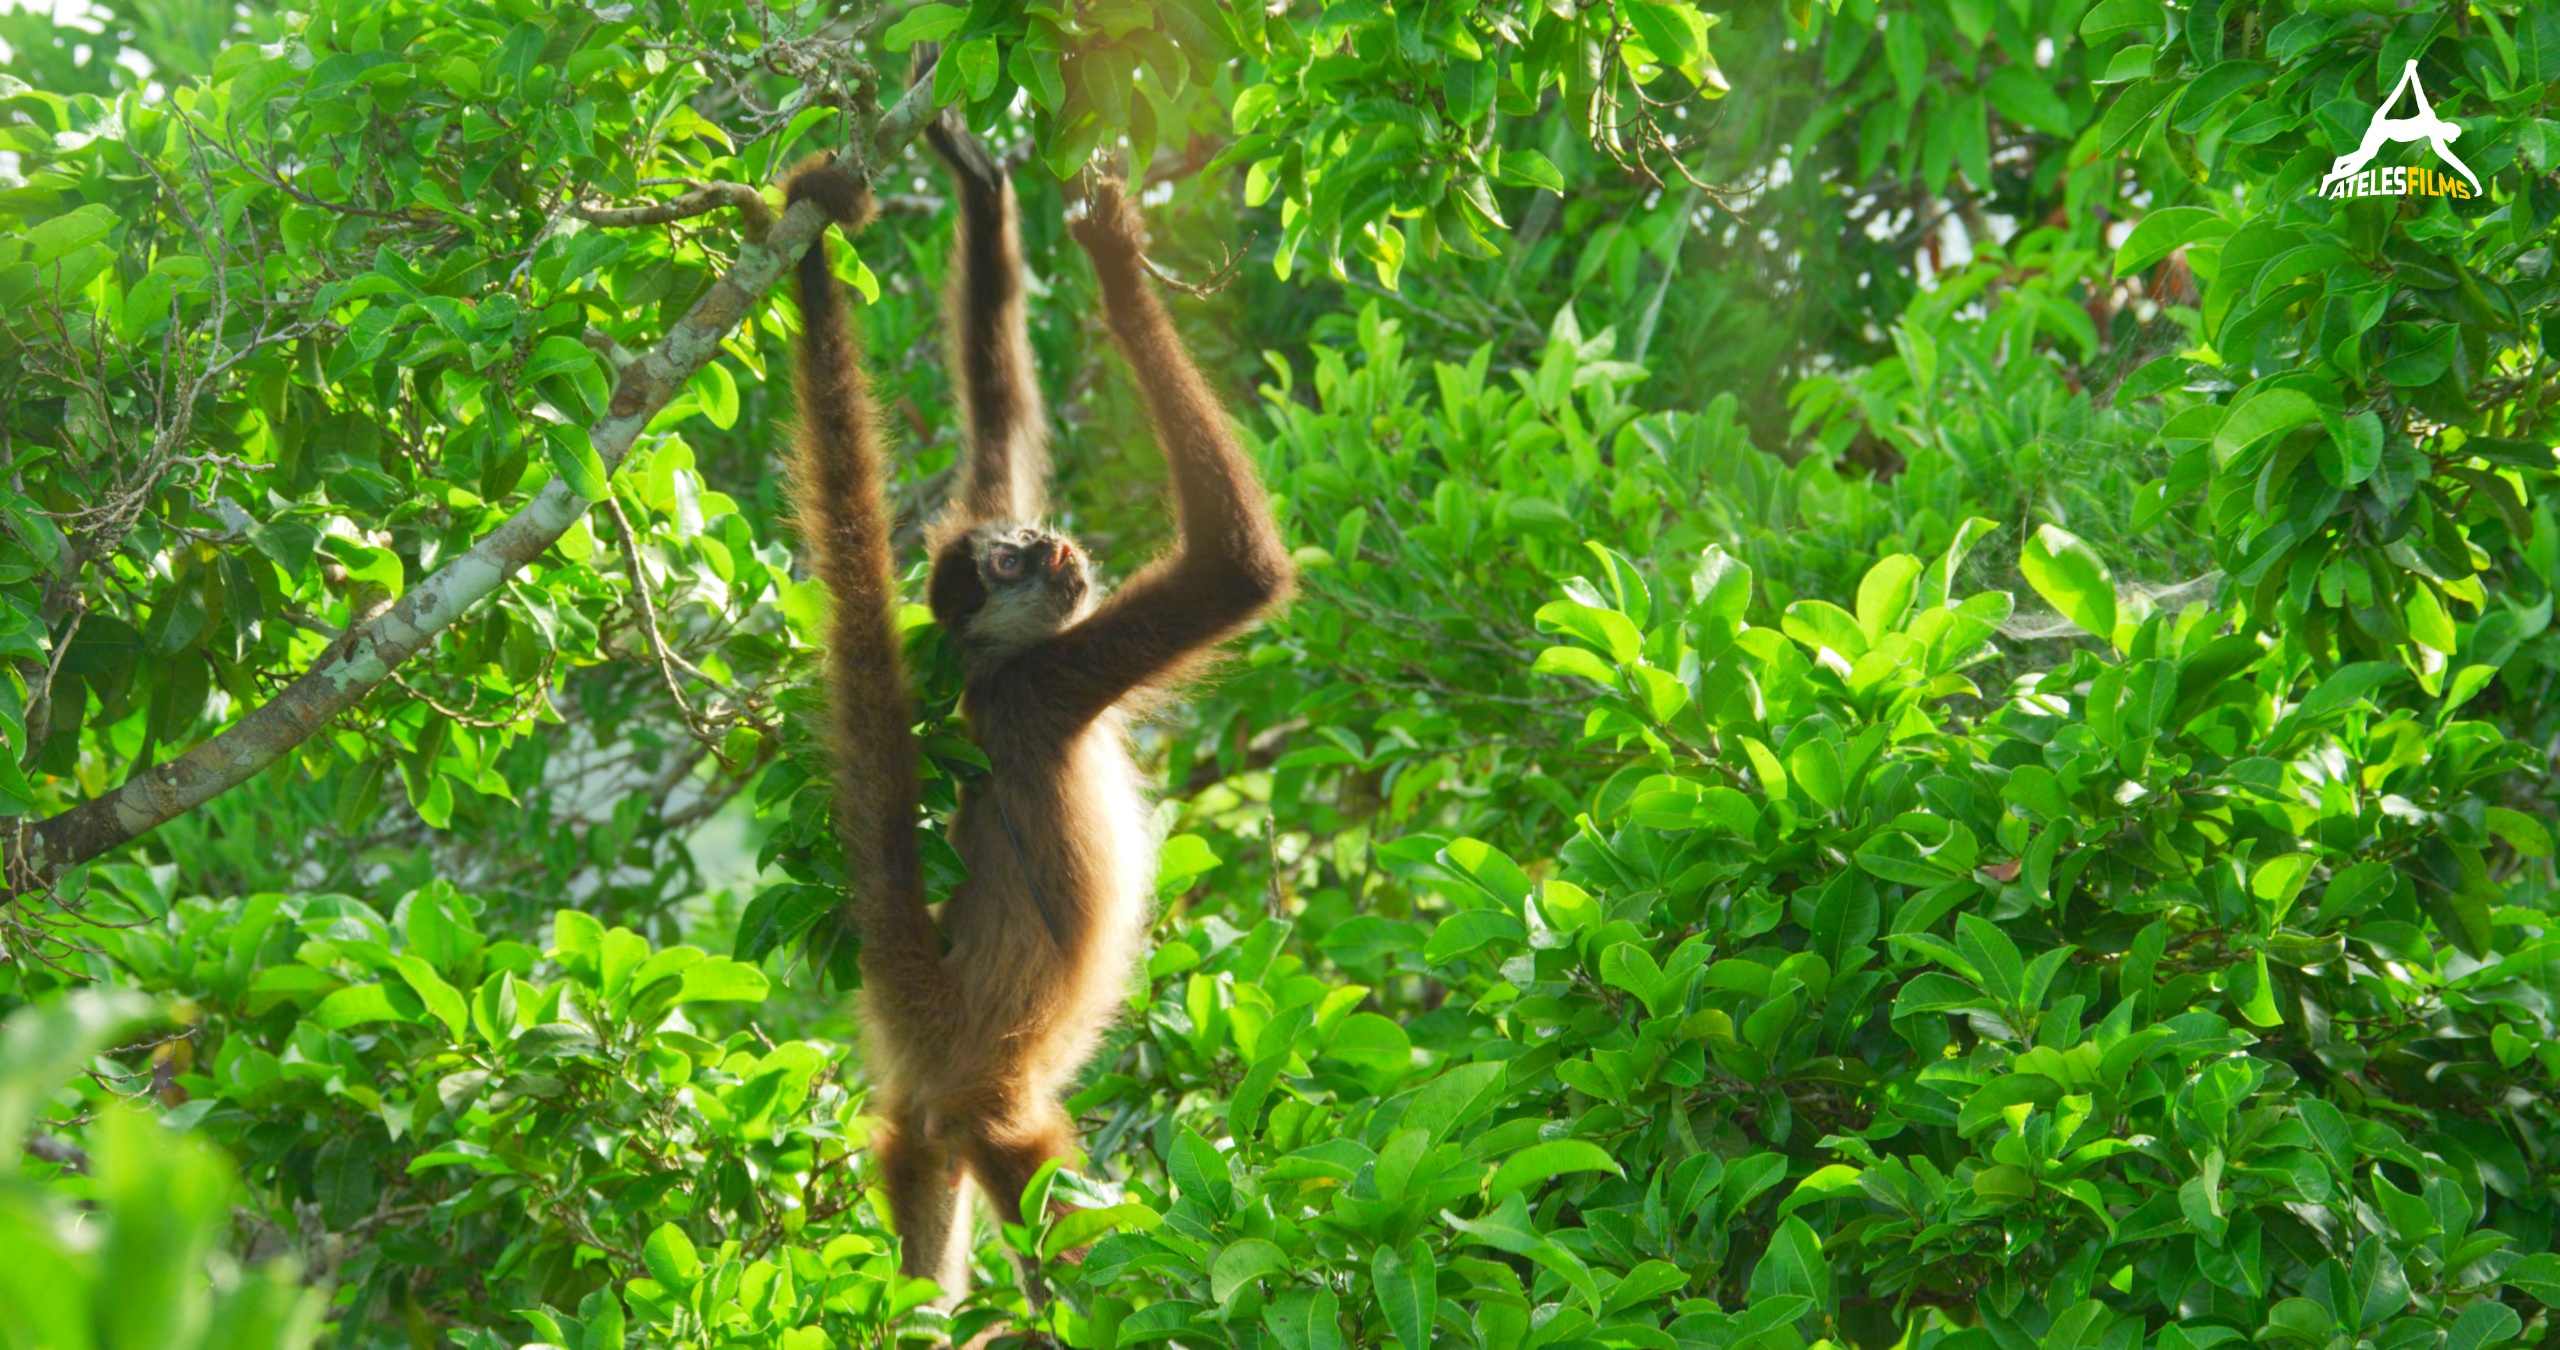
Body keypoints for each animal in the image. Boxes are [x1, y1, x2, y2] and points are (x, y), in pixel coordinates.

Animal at [781, 125, 1293, 1308]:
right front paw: (1114, 263)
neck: (993, 675)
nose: (1053, 546)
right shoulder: (1050, 685)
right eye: (1012, 563)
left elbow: (1000, 430)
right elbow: (1236, 568)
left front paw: (982, 191)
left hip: (923, 1134)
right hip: (1003, 1116)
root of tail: (941, 1023)